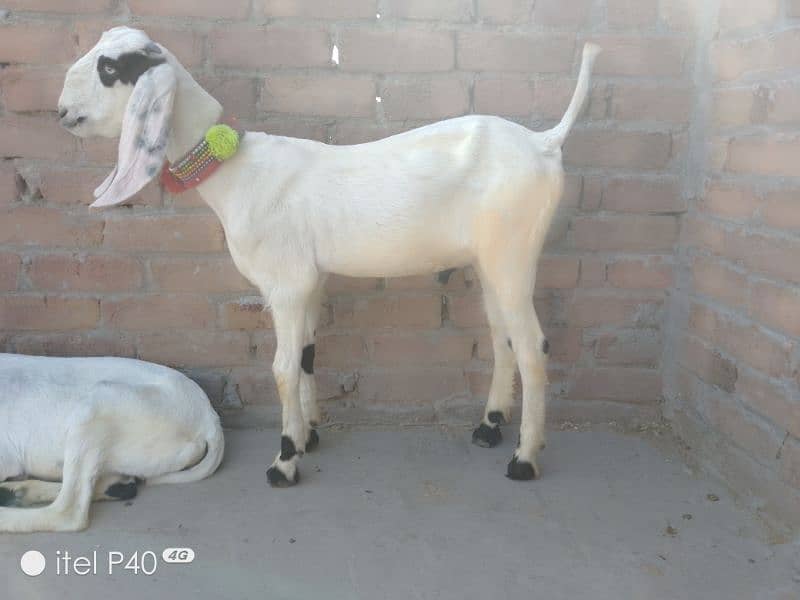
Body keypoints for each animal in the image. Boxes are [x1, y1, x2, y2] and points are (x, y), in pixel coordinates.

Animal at [57, 27, 600, 488]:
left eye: (110, 67)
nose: (62, 112)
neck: (238, 175)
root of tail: (544, 142)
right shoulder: (311, 282)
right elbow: (307, 356)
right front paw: (307, 436)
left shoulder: (286, 284)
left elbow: (281, 367)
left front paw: (283, 463)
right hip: (491, 259)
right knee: (501, 336)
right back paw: (489, 427)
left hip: (514, 252)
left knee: (532, 347)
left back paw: (524, 459)